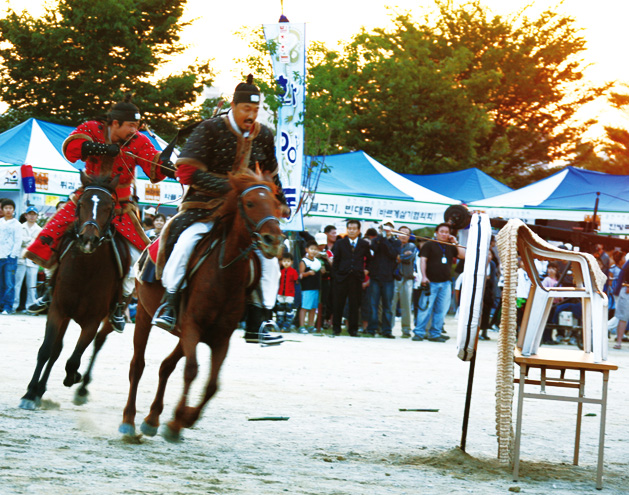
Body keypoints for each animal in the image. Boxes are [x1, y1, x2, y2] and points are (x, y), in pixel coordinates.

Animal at [18, 173, 129, 410]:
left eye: (109, 207)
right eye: (81, 204)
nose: (88, 239)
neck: (85, 271)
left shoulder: (92, 321)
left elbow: (74, 359)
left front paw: (73, 377)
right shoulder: (58, 310)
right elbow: (47, 349)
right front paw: (30, 393)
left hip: (109, 317)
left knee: (97, 344)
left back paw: (82, 387)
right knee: (57, 349)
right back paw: (41, 390)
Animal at [118, 170, 284, 442]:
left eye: (275, 204)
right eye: (250, 203)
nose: (274, 241)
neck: (224, 275)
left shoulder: (220, 337)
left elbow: (212, 385)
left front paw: (184, 419)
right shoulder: (193, 327)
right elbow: (191, 371)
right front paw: (176, 421)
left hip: (183, 333)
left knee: (166, 366)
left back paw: (152, 419)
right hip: (144, 314)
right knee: (137, 365)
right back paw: (129, 421)